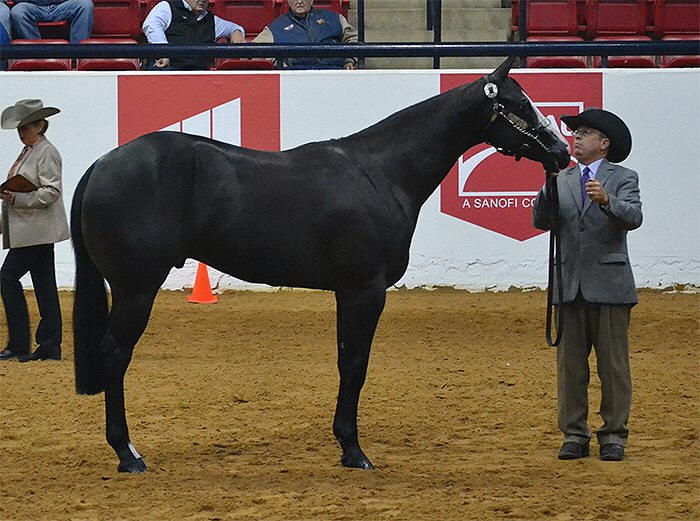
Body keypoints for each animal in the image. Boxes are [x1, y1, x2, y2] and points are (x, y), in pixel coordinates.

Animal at [72, 58, 570, 473]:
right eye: (518, 106)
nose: (562, 153)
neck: (382, 173)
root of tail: (101, 164)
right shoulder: (365, 290)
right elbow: (356, 365)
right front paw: (354, 450)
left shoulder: (346, 291)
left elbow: (345, 360)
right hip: (136, 288)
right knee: (115, 355)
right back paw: (128, 454)